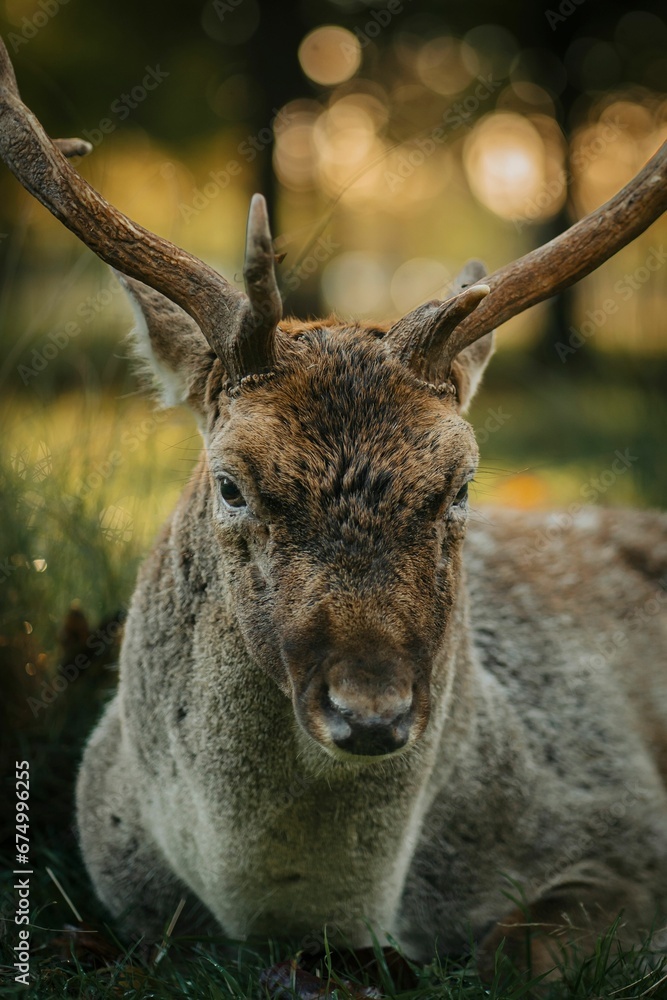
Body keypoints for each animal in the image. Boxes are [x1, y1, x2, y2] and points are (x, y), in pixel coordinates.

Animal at [2, 34, 667, 986]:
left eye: (461, 483)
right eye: (230, 482)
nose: (371, 712)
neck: (306, 916)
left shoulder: (619, 818)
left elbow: (516, 951)